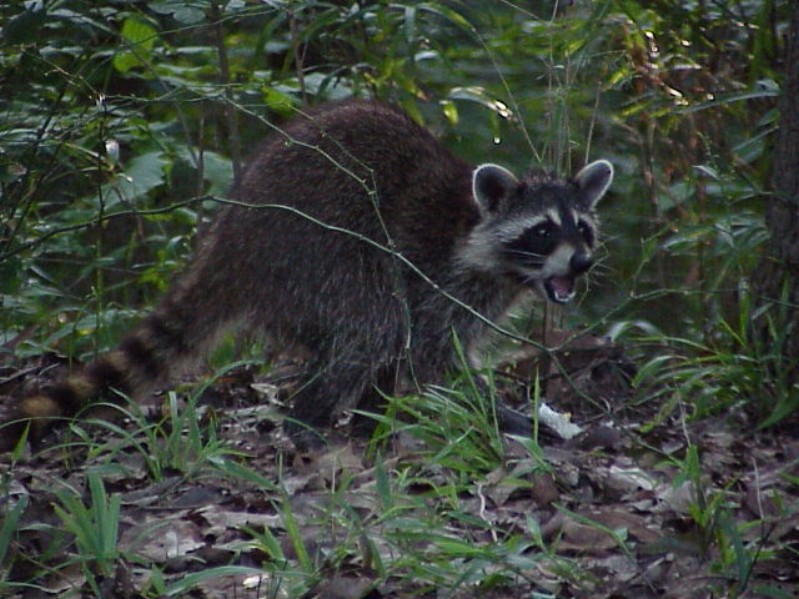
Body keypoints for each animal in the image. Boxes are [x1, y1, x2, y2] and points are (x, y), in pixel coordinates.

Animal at [0, 101, 612, 452]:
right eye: (542, 231)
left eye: (582, 230)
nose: (580, 264)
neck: (486, 246)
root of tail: (229, 240)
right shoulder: (440, 280)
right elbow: (430, 358)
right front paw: (502, 416)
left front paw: (380, 412)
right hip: (315, 249)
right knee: (371, 320)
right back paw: (308, 420)